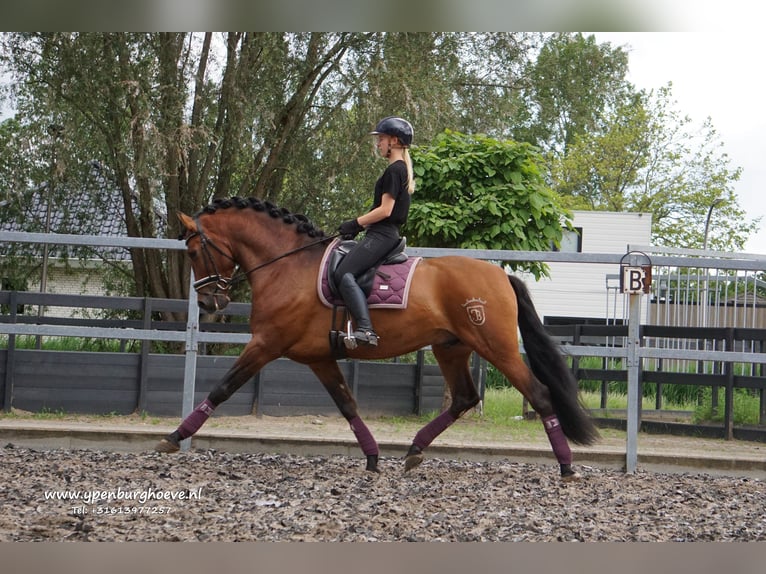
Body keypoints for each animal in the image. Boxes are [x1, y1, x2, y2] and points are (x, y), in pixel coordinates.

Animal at [156, 198, 600, 482]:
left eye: (193, 251)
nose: (210, 301)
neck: (288, 266)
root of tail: (500, 275)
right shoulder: (318, 358)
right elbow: (347, 405)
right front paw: (371, 459)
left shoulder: (265, 344)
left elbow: (223, 387)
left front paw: (173, 438)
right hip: (450, 348)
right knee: (463, 398)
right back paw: (414, 451)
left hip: (497, 347)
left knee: (539, 395)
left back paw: (566, 467)